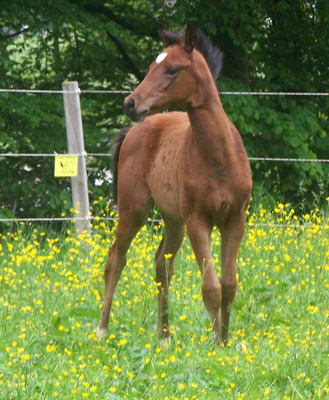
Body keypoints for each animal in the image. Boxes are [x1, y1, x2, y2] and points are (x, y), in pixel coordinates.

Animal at [95, 25, 251, 346]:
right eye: (151, 66)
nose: (130, 103)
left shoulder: (235, 219)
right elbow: (211, 287)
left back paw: (164, 336)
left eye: (171, 69)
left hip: (173, 220)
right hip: (135, 210)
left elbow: (229, 284)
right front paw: (217, 346)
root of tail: (134, 130)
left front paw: (226, 342)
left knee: (161, 264)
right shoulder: (197, 221)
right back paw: (102, 330)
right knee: (116, 259)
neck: (219, 157)